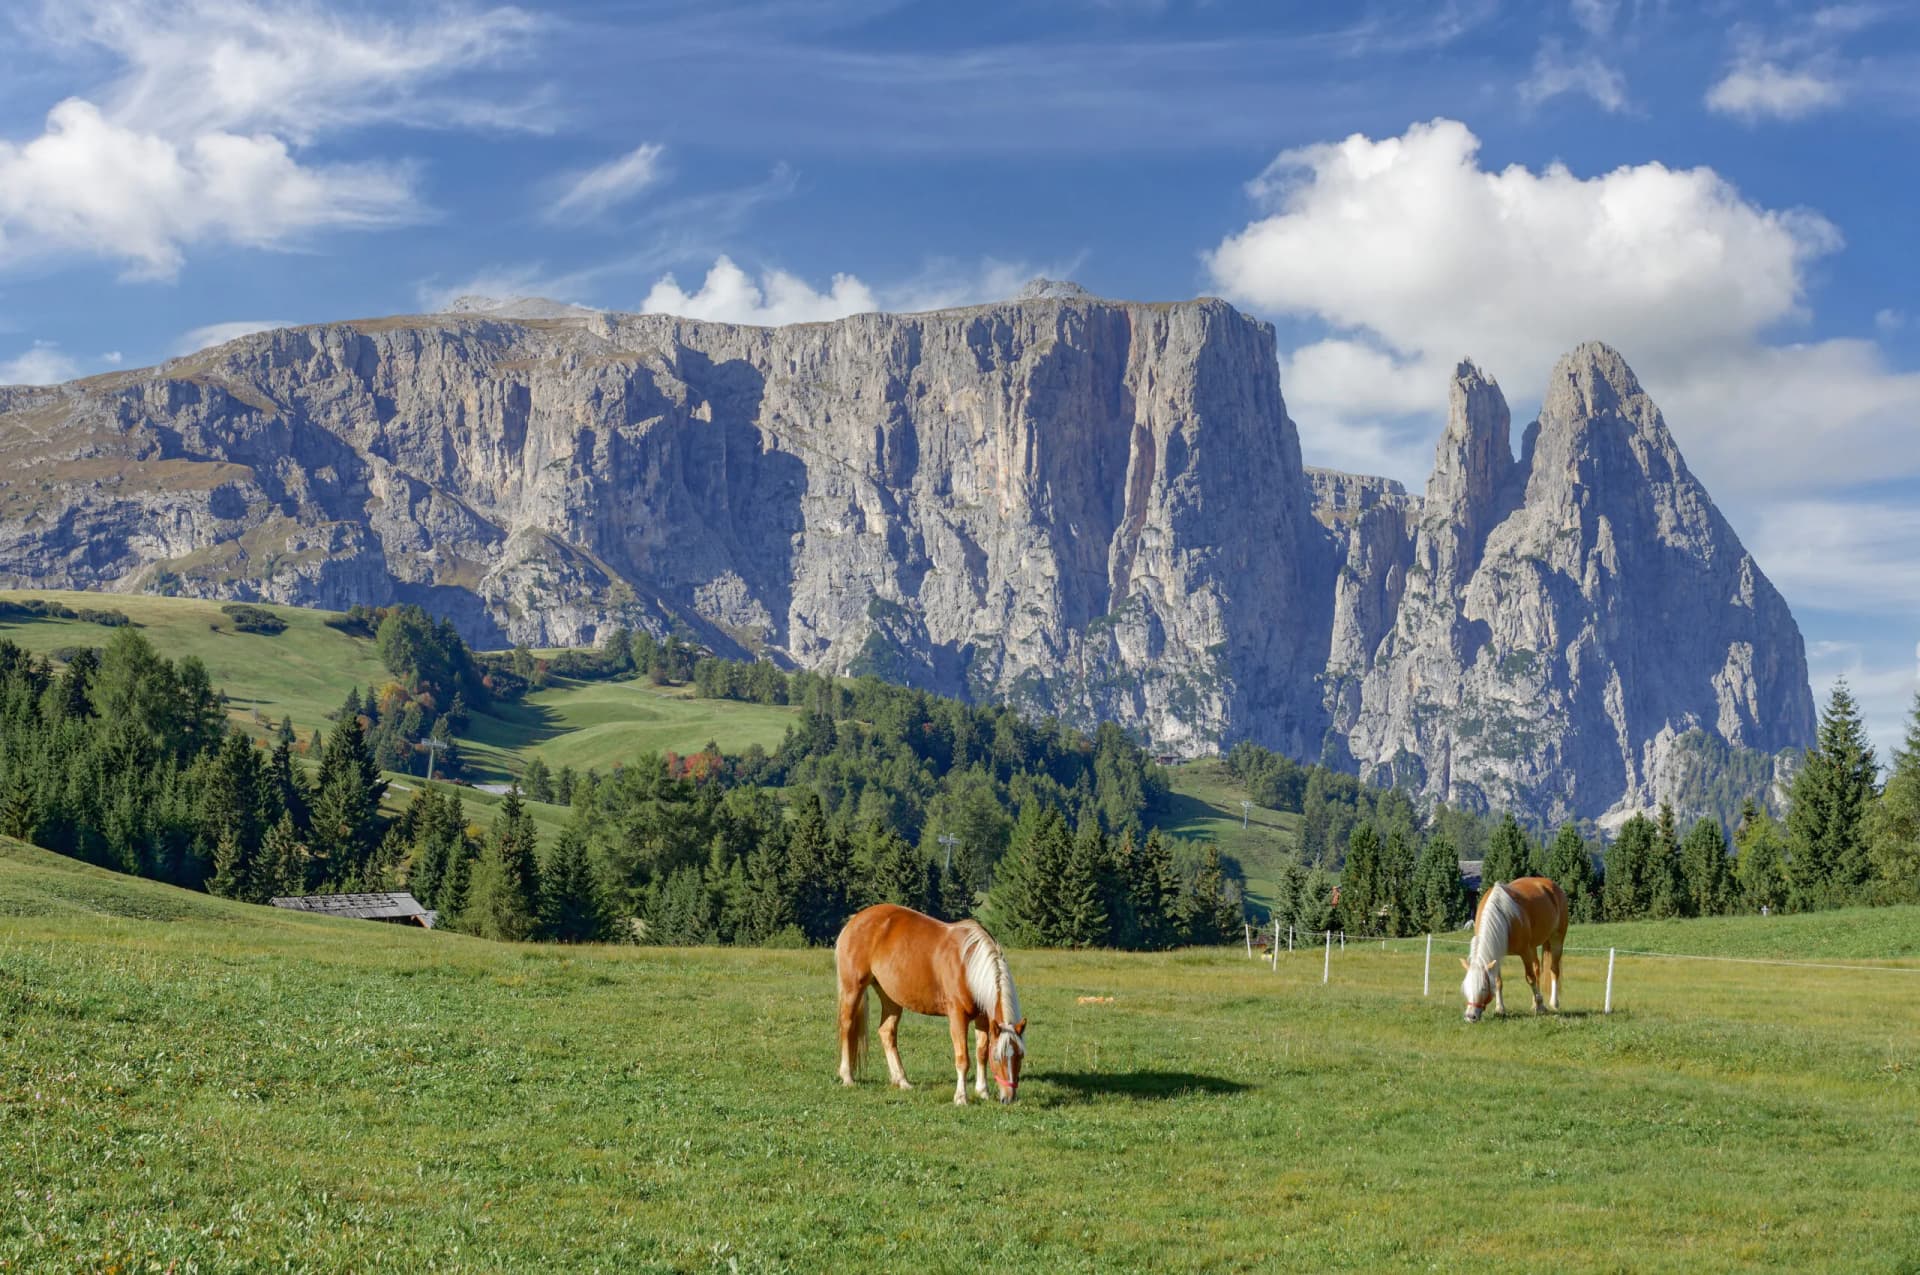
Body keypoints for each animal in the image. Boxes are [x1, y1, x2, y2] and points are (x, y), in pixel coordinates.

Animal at [834, 903, 1026, 1104]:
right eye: (997, 1057)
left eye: (1020, 1056)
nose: (1009, 1098)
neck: (967, 965)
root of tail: (855, 920)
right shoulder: (957, 1016)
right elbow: (963, 1058)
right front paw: (961, 1097)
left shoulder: (982, 1017)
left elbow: (981, 1053)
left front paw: (983, 1092)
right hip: (853, 989)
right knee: (847, 1026)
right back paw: (847, 1077)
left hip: (890, 997)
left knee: (887, 1032)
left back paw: (902, 1081)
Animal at [1459, 876, 1568, 1023]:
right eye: (1466, 987)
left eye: (1483, 988)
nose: (1470, 1017)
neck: (1503, 917)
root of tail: (1551, 885)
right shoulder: (1497, 954)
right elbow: (1498, 981)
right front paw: (1500, 1009)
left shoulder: (1524, 952)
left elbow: (1530, 978)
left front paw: (1540, 1006)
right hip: (1533, 946)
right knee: (1537, 969)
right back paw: (1535, 1003)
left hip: (1557, 939)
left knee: (1554, 970)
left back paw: (1553, 1003)